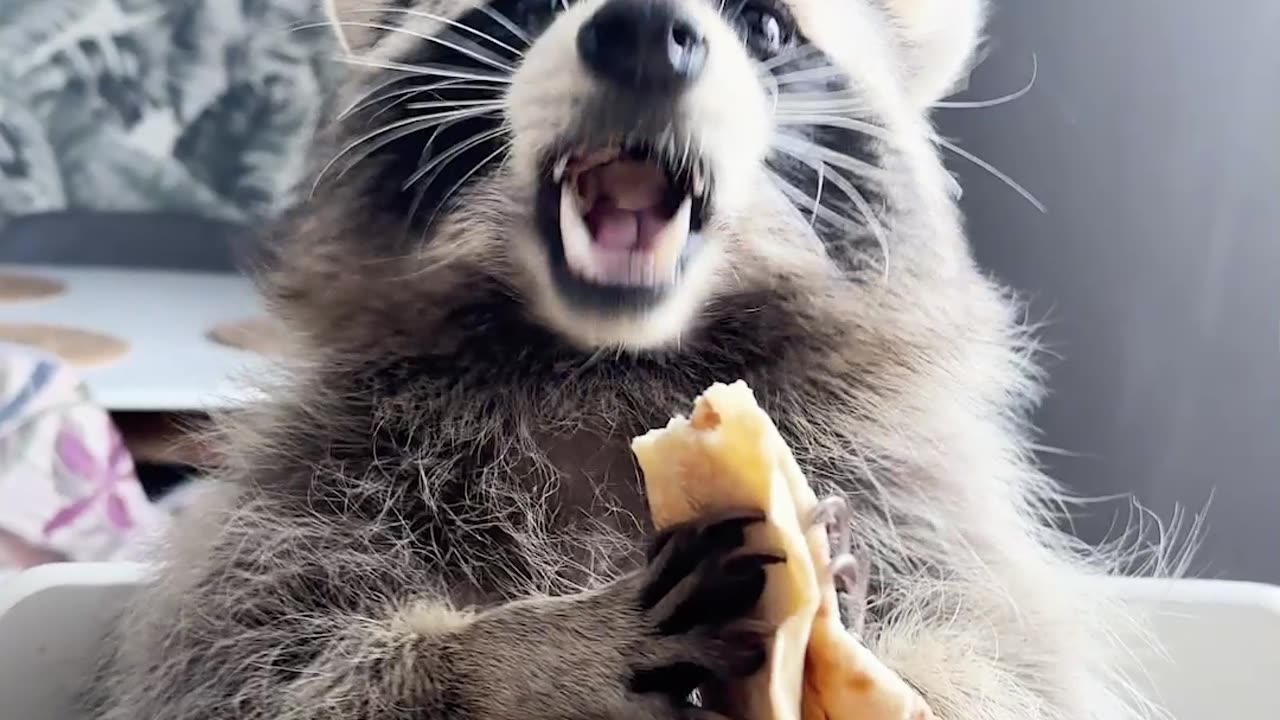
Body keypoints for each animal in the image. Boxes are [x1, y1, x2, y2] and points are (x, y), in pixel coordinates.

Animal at [93, 0, 1154, 719]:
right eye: (523, 6)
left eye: (767, 25)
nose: (644, 29)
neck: (609, 358)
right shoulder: (308, 487)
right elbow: (263, 677)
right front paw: (515, 658)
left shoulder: (929, 508)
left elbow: (1004, 674)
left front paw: (845, 618)